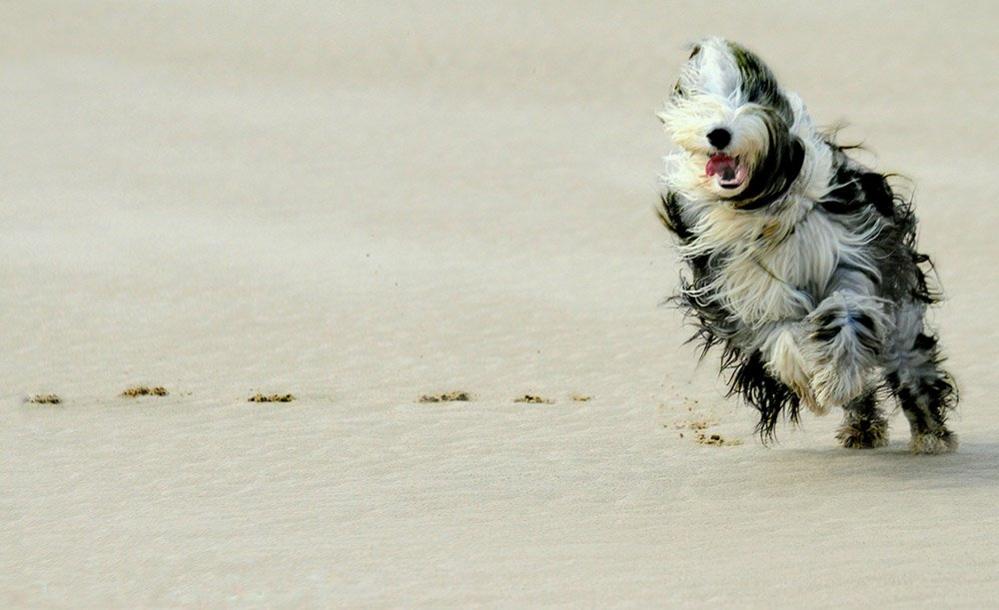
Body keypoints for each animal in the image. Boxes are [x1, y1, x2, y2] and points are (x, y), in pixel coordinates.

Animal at [660, 38, 956, 452]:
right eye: (702, 105)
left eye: (747, 99)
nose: (718, 134)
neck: (761, 204)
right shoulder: (748, 294)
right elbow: (782, 337)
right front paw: (812, 379)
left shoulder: (852, 259)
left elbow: (845, 313)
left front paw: (836, 377)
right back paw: (861, 426)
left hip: (901, 309)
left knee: (911, 360)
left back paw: (930, 435)